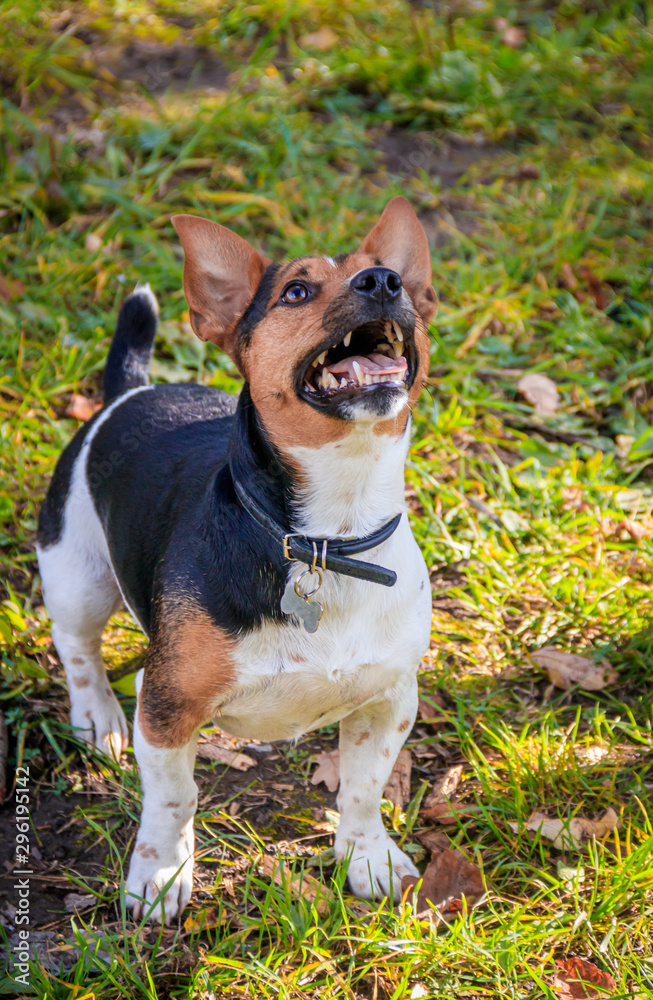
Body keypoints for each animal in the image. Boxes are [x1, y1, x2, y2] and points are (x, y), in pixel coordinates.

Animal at [38, 195, 438, 920]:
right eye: (297, 291)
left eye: (388, 274)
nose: (383, 283)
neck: (328, 537)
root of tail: (129, 393)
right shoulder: (166, 706)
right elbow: (174, 799)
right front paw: (160, 874)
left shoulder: (387, 700)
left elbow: (363, 789)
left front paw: (366, 857)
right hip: (77, 575)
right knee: (77, 648)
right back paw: (96, 718)